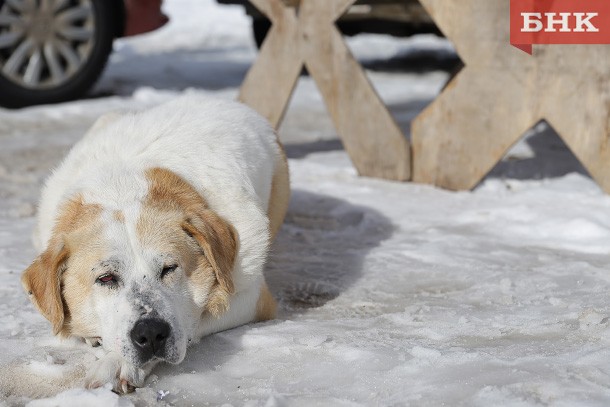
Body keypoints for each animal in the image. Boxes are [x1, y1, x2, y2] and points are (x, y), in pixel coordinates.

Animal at [20, 95, 290, 396]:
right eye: (106, 278)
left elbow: (195, 318)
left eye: (169, 268)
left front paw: (117, 363)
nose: (150, 333)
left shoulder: (253, 297)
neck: (120, 187)